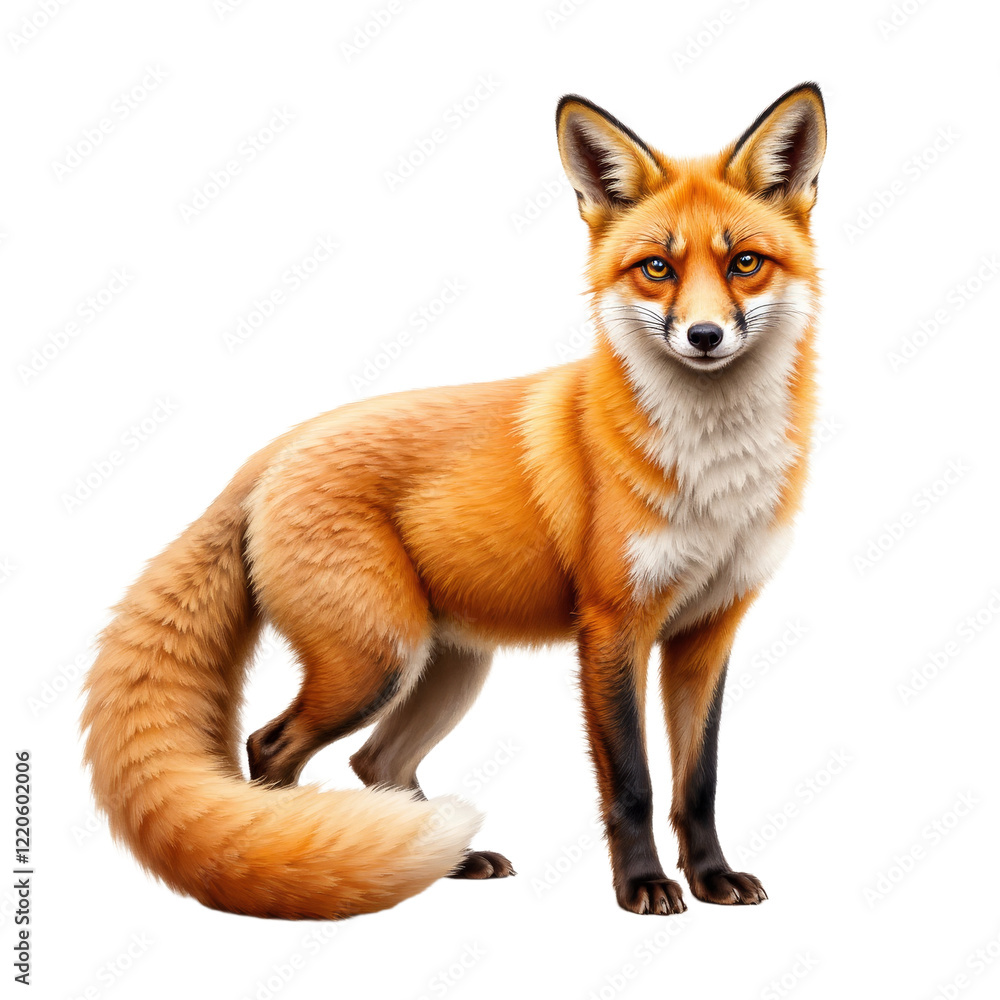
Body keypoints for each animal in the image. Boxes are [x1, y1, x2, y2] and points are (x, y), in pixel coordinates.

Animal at [82, 82, 826, 919]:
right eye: (657, 268)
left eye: (745, 263)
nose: (703, 336)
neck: (711, 472)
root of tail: (273, 451)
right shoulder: (613, 626)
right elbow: (632, 783)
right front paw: (643, 886)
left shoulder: (708, 630)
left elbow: (699, 783)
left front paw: (711, 877)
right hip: (375, 662)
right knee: (269, 747)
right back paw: (282, 864)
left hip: (447, 669)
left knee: (376, 763)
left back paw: (442, 858)